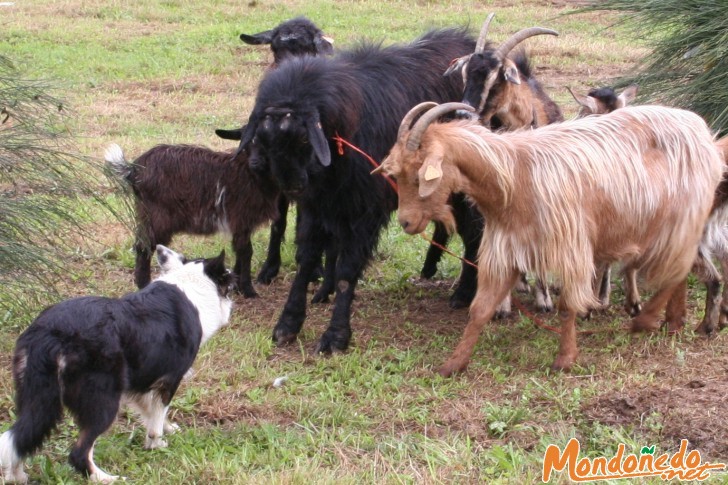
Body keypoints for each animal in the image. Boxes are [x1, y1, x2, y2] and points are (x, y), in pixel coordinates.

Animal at [0, 244, 233, 482]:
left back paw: (16, 476)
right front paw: (156, 444)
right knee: (78, 452)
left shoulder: (142, 380)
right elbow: (157, 417)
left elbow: (152, 413)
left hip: (34, 395)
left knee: (19, 437)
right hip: (103, 399)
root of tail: (49, 333)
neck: (192, 285)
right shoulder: (169, 380)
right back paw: (107, 479)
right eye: (229, 281)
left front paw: (167, 430)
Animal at [105, 142, 278, 296]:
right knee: (143, 247)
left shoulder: (241, 224)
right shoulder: (241, 218)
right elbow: (246, 252)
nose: (256, 162)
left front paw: (237, 285)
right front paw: (248, 291)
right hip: (157, 216)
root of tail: (134, 169)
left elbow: (239, 250)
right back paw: (144, 284)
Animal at [235, 27, 478, 352]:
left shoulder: (366, 212)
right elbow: (306, 260)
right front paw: (288, 324)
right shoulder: (317, 207)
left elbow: (347, 271)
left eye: (303, 138)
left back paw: (465, 292)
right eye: (263, 137)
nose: (291, 185)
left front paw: (336, 335)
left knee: (475, 235)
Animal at [378, 101, 724, 374]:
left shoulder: (571, 248)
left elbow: (567, 306)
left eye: (419, 173)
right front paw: (453, 364)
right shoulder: (504, 251)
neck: (515, 177)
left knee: (677, 270)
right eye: (396, 173)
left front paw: (565, 359)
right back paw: (674, 322)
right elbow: (480, 309)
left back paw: (650, 320)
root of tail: (702, 130)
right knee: (680, 271)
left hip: (677, 222)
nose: (406, 222)